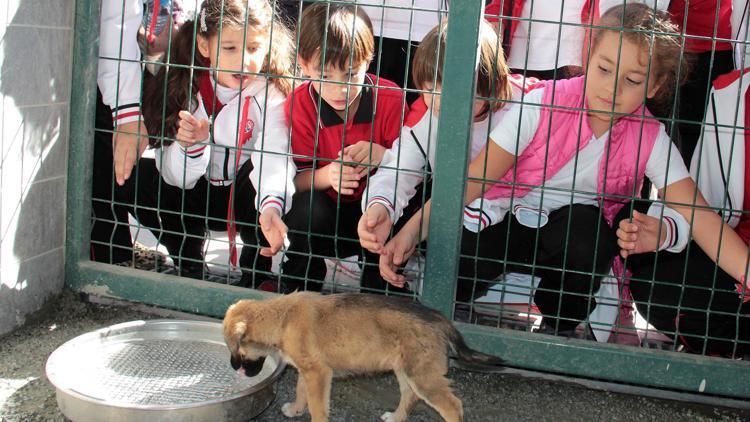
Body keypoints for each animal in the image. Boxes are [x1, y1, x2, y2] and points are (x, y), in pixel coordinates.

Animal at [223, 292, 506, 420]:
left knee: (452, 406)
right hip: (406, 371)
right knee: (410, 396)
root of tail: (439, 319)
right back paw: (396, 417)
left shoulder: (318, 373)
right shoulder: (308, 370)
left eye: (237, 351)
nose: (234, 368)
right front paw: (295, 409)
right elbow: (301, 392)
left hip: (423, 376)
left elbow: (317, 405)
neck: (282, 317)